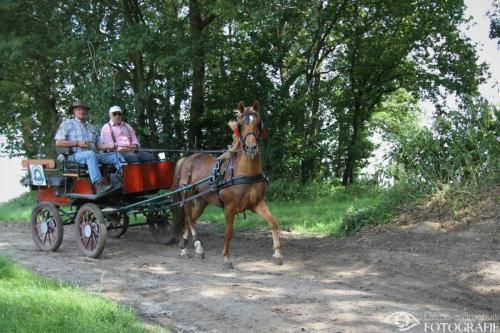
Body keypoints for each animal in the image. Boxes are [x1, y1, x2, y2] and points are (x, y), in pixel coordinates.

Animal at [171, 100, 282, 268]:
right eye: (240, 125)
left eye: (258, 123)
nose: (251, 147)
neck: (243, 172)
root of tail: (186, 159)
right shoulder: (229, 207)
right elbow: (228, 233)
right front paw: (226, 258)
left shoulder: (256, 203)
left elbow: (273, 222)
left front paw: (277, 253)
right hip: (187, 195)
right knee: (189, 219)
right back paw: (198, 246)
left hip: (202, 201)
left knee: (192, 219)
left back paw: (185, 246)